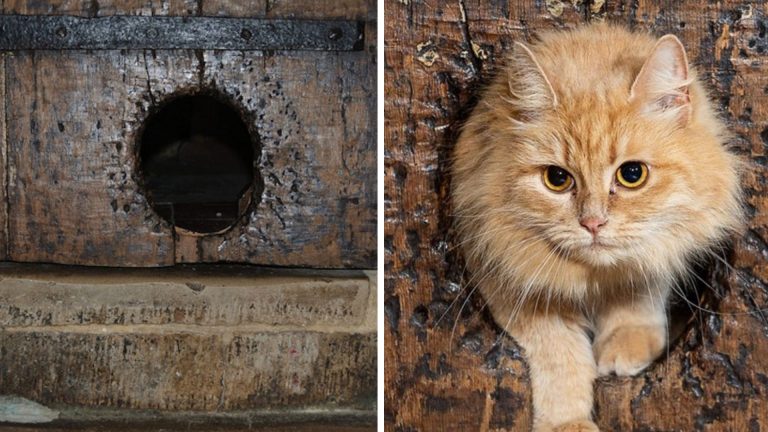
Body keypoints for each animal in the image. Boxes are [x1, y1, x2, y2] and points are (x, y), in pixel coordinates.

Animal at [452, 24, 740, 432]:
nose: (592, 223)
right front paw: (568, 423)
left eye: (632, 174)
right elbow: (561, 354)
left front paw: (627, 344)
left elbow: (637, 297)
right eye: (557, 179)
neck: (597, 279)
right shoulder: (503, 276)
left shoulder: (652, 256)